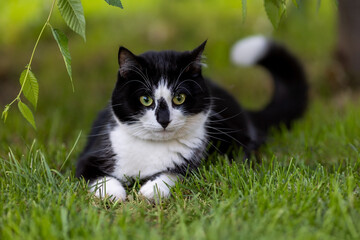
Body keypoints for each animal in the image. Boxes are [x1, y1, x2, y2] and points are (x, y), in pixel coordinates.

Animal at [75, 35, 306, 201]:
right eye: (145, 99)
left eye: (179, 98)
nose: (164, 119)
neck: (152, 148)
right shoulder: (91, 153)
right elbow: (94, 174)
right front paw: (114, 193)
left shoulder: (195, 162)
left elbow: (176, 174)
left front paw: (152, 189)